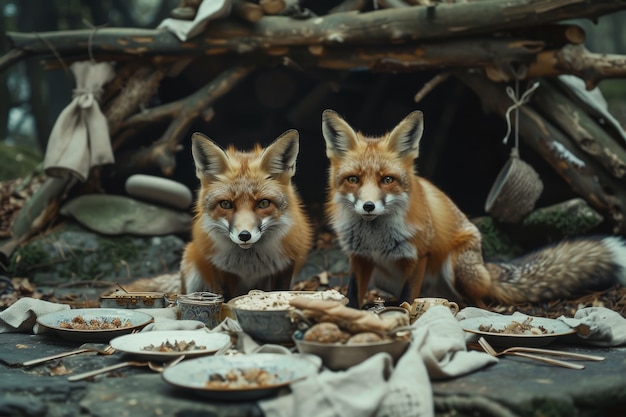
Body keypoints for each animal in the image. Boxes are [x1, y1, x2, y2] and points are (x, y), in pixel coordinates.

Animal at [179, 129, 310, 300]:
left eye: (263, 203)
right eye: (225, 204)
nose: (244, 235)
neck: (249, 265)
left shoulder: (286, 265)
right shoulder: (219, 268)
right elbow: (225, 297)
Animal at [320, 109, 624, 308]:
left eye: (387, 180)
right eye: (353, 179)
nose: (369, 206)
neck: (375, 237)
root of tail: (487, 271)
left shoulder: (418, 254)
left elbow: (408, 297)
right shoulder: (360, 257)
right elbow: (354, 294)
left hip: (457, 269)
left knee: (480, 303)